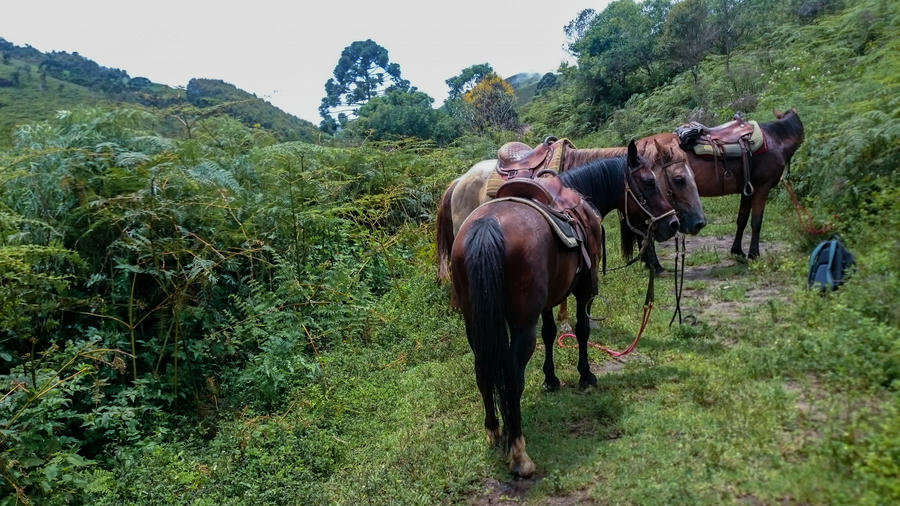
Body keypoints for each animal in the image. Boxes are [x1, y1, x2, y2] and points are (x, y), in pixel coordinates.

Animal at [450, 142, 676, 478]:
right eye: (648, 182)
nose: (672, 223)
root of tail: (486, 226)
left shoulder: (548, 301)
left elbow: (550, 332)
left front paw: (551, 380)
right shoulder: (584, 289)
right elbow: (582, 330)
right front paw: (586, 375)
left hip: (474, 321)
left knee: (483, 369)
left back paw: (494, 431)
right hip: (521, 324)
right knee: (512, 376)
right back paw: (519, 453)